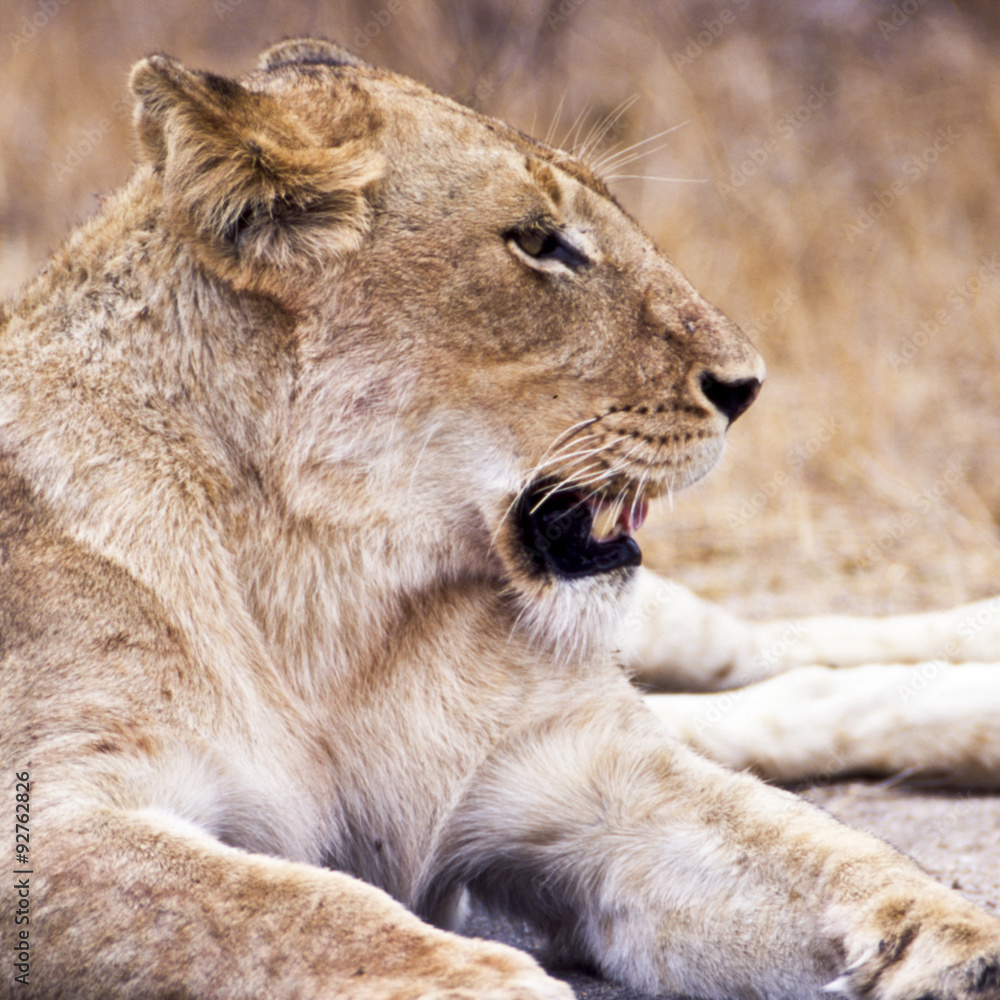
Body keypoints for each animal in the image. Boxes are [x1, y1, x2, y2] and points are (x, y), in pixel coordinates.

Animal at [2, 38, 999, 1000]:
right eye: (539, 243)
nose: (747, 388)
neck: (336, 599)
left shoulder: (591, 774)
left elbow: (818, 852)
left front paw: (955, 940)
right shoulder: (59, 813)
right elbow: (293, 912)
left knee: (752, 656)